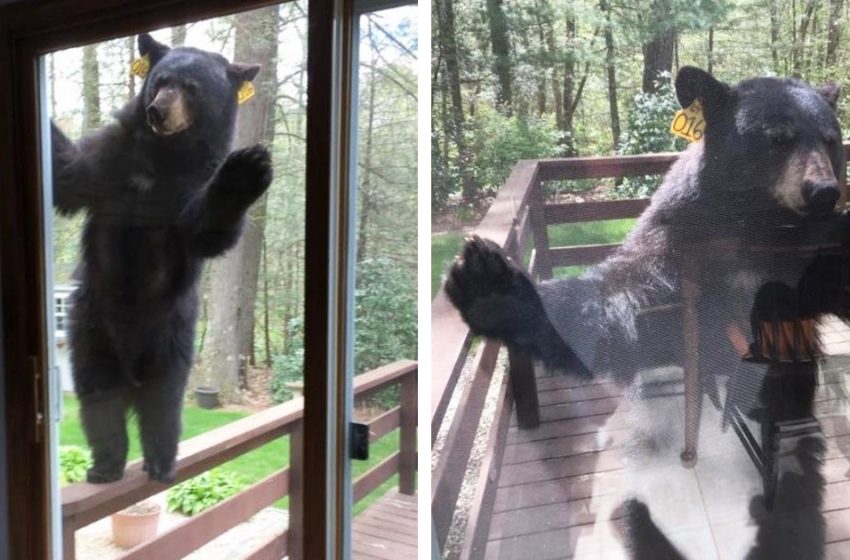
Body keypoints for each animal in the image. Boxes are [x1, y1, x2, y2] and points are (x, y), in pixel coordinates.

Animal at [52, 32, 272, 484]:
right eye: (159, 81)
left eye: (192, 88)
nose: (157, 111)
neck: (162, 157)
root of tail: (130, 367)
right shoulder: (110, 160)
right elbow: (70, 174)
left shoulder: (189, 186)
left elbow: (206, 231)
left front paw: (247, 168)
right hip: (91, 329)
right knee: (98, 397)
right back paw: (106, 464)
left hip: (172, 335)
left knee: (163, 403)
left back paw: (161, 461)